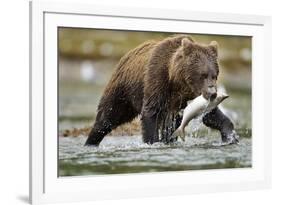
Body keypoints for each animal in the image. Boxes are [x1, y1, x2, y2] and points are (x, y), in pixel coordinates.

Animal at [85, 36, 236, 147]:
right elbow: (151, 113)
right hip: (123, 91)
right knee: (107, 117)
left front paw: (231, 137)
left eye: (214, 75)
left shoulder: (189, 97)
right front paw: (153, 142)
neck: (178, 82)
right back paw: (91, 142)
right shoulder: (157, 81)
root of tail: (126, 55)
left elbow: (210, 114)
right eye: (203, 75)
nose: (212, 93)